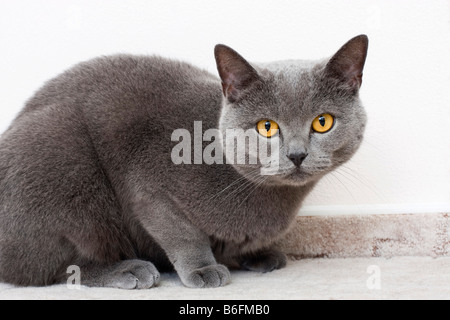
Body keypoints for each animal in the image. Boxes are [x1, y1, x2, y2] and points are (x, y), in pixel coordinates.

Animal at [0, 35, 368, 290]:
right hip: (61, 150)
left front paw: (255, 255)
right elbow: (183, 233)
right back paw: (128, 269)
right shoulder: (150, 189)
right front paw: (203, 269)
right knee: (54, 268)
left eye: (323, 122)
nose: (296, 154)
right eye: (267, 127)